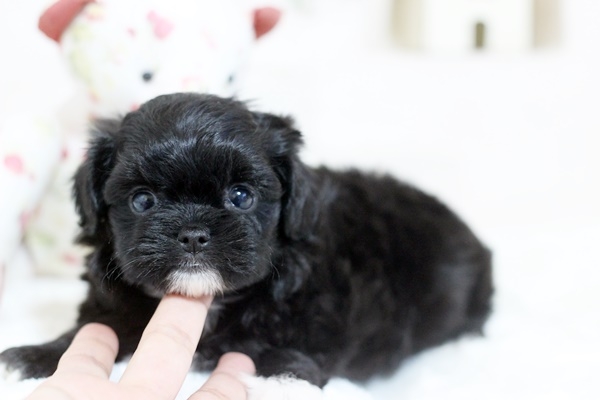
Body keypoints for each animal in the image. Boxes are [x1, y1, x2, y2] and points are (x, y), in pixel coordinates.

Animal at [0, 93, 493, 388]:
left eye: (241, 196)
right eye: (142, 200)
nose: (193, 233)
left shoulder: (304, 345)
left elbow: (272, 361)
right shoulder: (115, 306)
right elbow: (95, 329)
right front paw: (35, 356)